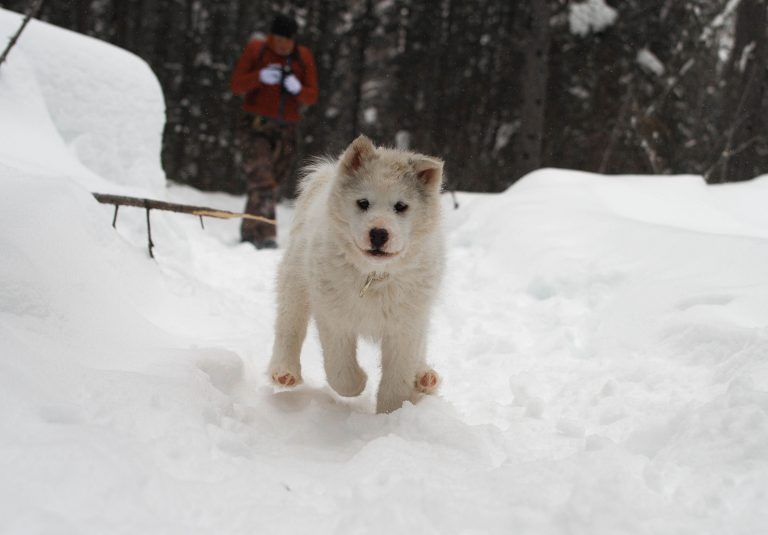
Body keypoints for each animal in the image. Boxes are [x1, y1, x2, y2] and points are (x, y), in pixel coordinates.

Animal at [268, 135, 444, 414]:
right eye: (363, 203)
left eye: (401, 206)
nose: (379, 233)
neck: (373, 276)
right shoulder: (334, 316)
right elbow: (339, 369)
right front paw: (358, 383)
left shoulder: (406, 325)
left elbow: (399, 375)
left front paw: (392, 414)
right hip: (294, 282)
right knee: (289, 327)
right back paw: (284, 372)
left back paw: (425, 378)